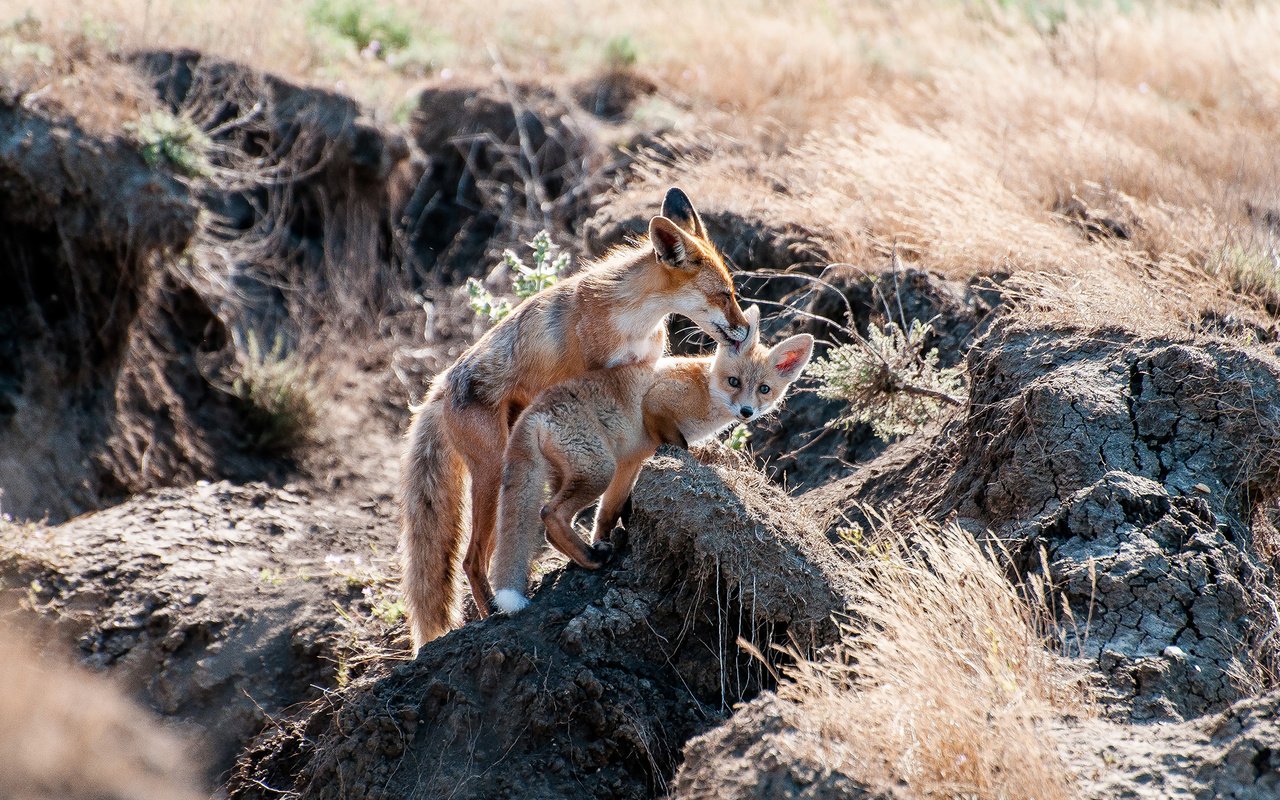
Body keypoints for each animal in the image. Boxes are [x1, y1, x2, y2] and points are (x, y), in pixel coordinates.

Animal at [394, 186, 747, 650]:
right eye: (724, 295)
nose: (746, 330)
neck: (633, 318)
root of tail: (437, 388)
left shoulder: (642, 369)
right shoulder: (599, 376)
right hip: (492, 474)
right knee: (472, 560)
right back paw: (492, 613)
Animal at [486, 304, 808, 611]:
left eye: (764, 389)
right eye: (734, 381)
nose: (746, 412)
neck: (704, 390)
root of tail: (533, 410)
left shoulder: (630, 461)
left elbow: (608, 512)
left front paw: (606, 536)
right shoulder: (656, 402)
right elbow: (679, 445)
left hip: (579, 472)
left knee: (553, 525)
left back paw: (585, 555)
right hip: (598, 470)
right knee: (550, 514)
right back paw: (592, 559)